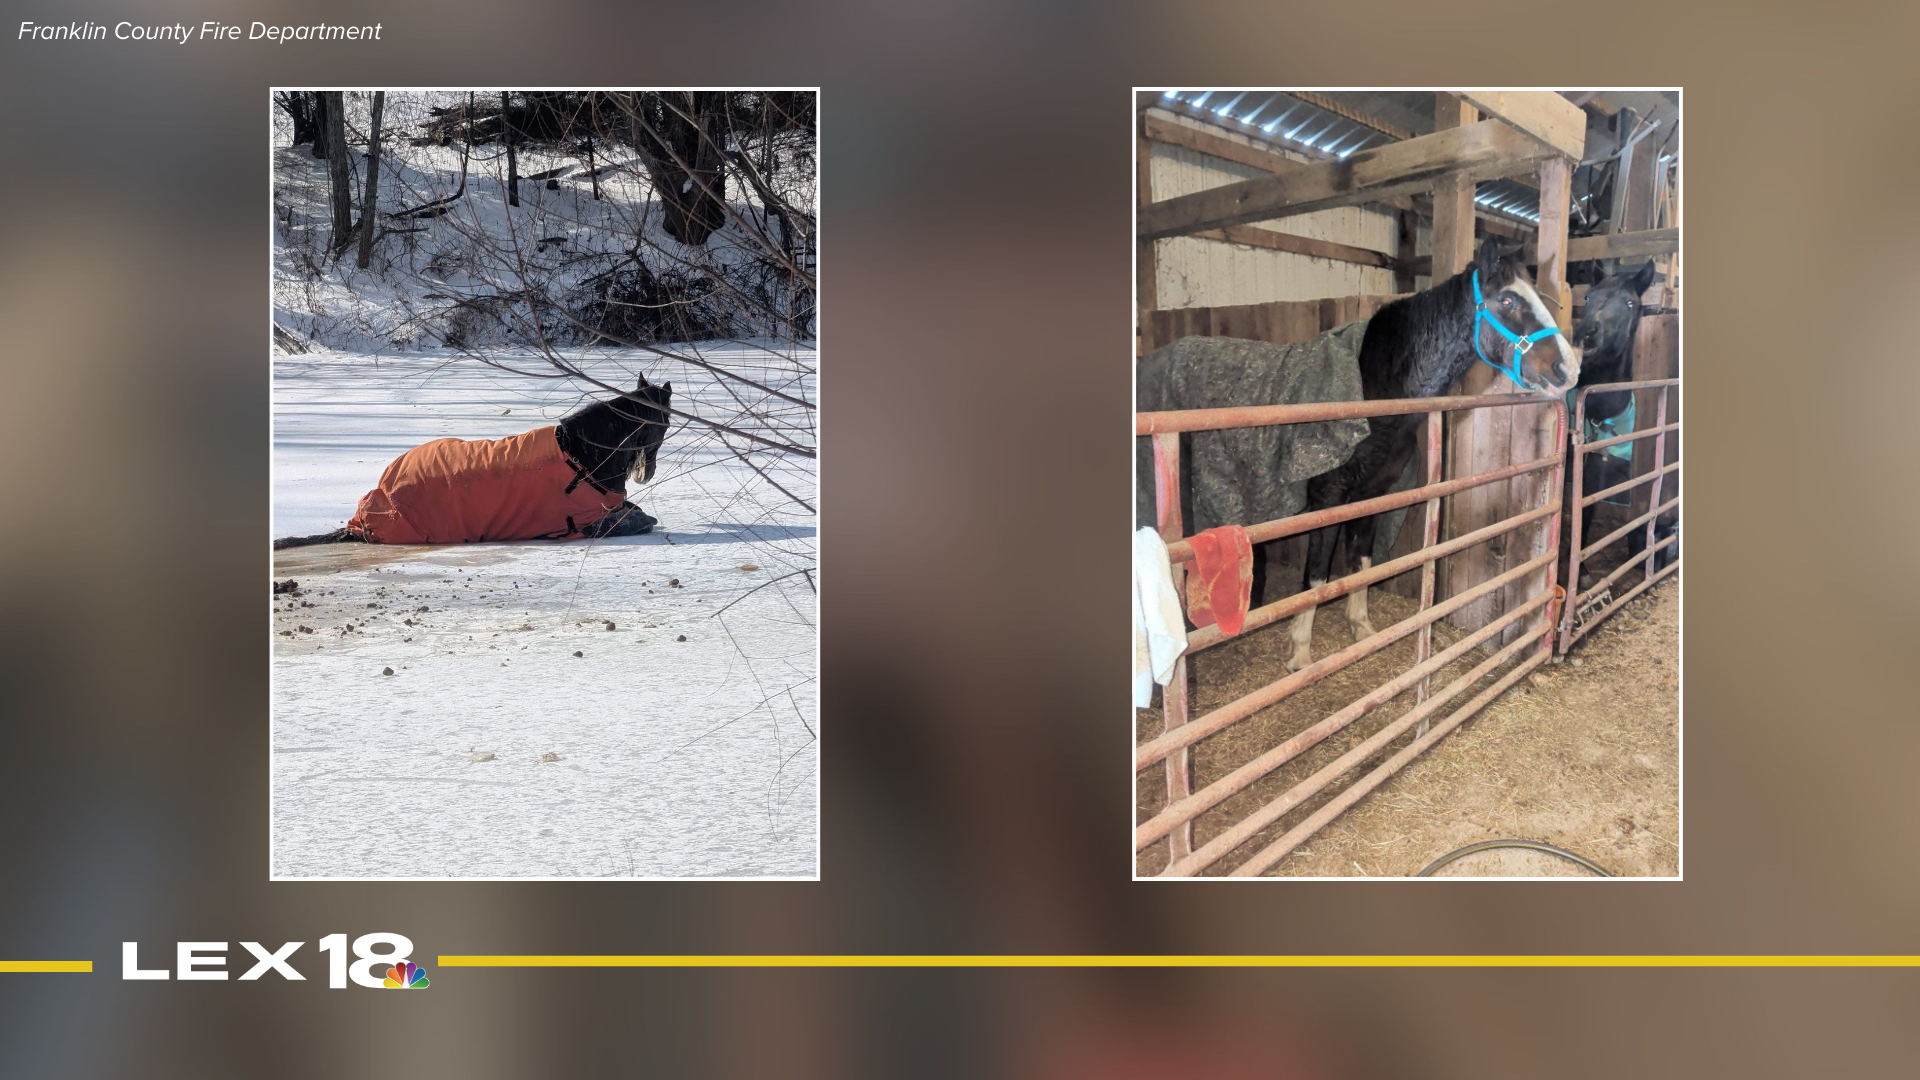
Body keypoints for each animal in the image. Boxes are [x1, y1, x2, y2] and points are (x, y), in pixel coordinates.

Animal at [274, 375, 673, 549]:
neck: (583, 455)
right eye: (665, 423)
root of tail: (360, 522)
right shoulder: (595, 522)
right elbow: (642, 519)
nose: (645, 473)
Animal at [1284, 239, 1579, 672]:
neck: (1376, 384)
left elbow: (1361, 562)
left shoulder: (1371, 495)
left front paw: (1364, 631)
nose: (1568, 368)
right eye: (1507, 299)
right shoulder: (1327, 498)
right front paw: (1301, 655)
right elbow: (1317, 574)